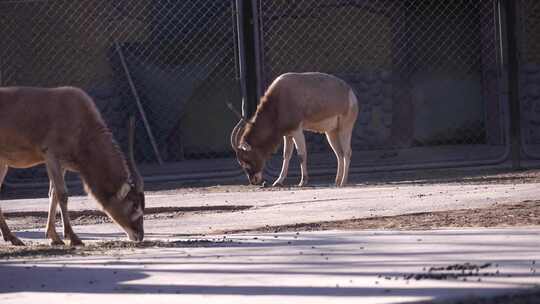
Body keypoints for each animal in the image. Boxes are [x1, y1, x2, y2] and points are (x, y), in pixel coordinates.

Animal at [0, 85, 146, 245]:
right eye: (134, 205)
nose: (139, 236)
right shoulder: (51, 155)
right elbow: (62, 194)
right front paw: (73, 237)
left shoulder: (62, 164)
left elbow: (53, 194)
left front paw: (54, 237)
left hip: (2, 163)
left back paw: (12, 237)